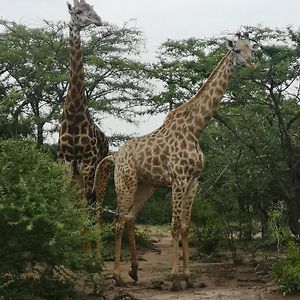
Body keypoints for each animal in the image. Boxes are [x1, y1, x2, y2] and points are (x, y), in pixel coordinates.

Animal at [95, 32, 258, 290]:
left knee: (130, 218)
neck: (195, 130)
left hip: (146, 186)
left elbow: (184, 226)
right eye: (237, 50)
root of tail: (116, 155)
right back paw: (117, 276)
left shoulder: (194, 181)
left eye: (252, 47)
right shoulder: (178, 179)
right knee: (119, 221)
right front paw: (174, 278)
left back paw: (134, 271)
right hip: (125, 182)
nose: (252, 63)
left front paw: (189, 277)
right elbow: (173, 226)